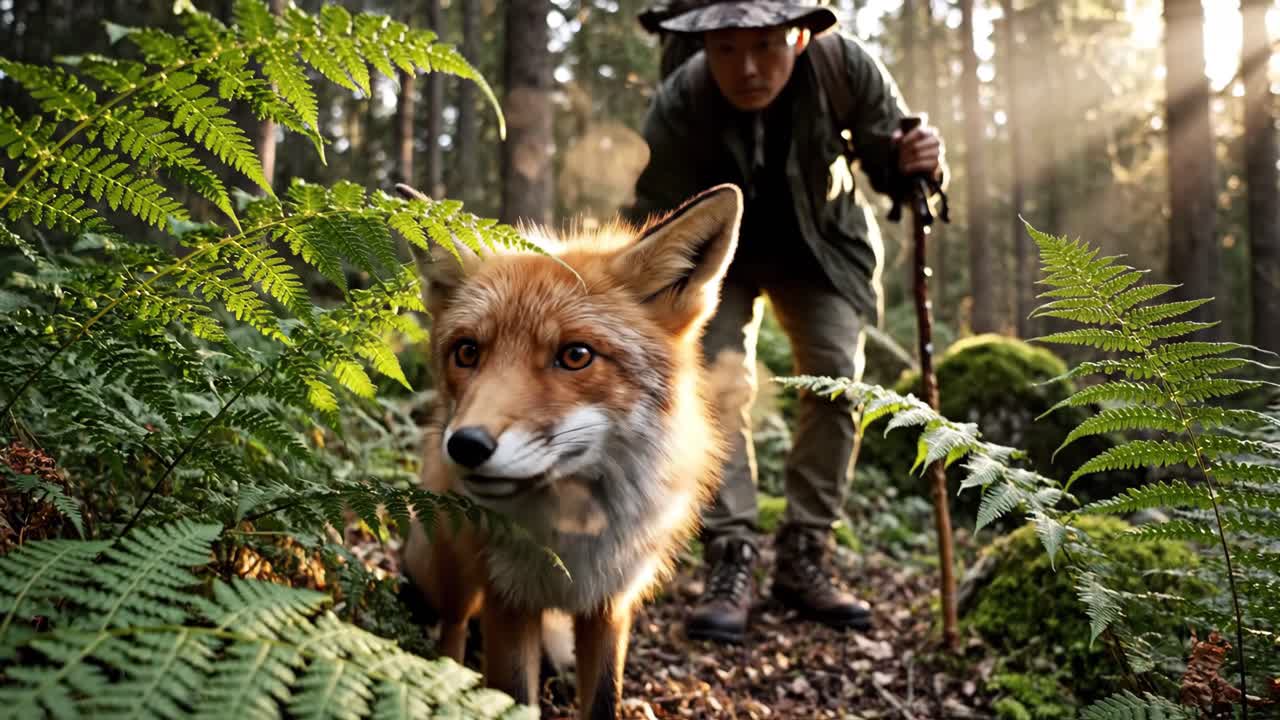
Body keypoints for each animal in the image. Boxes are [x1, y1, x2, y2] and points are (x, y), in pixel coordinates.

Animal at [400, 184, 744, 719]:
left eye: (576, 355)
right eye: (467, 352)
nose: (465, 445)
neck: (572, 534)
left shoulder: (610, 603)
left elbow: (603, 698)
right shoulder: (507, 596)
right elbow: (515, 698)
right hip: (455, 566)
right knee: (452, 630)